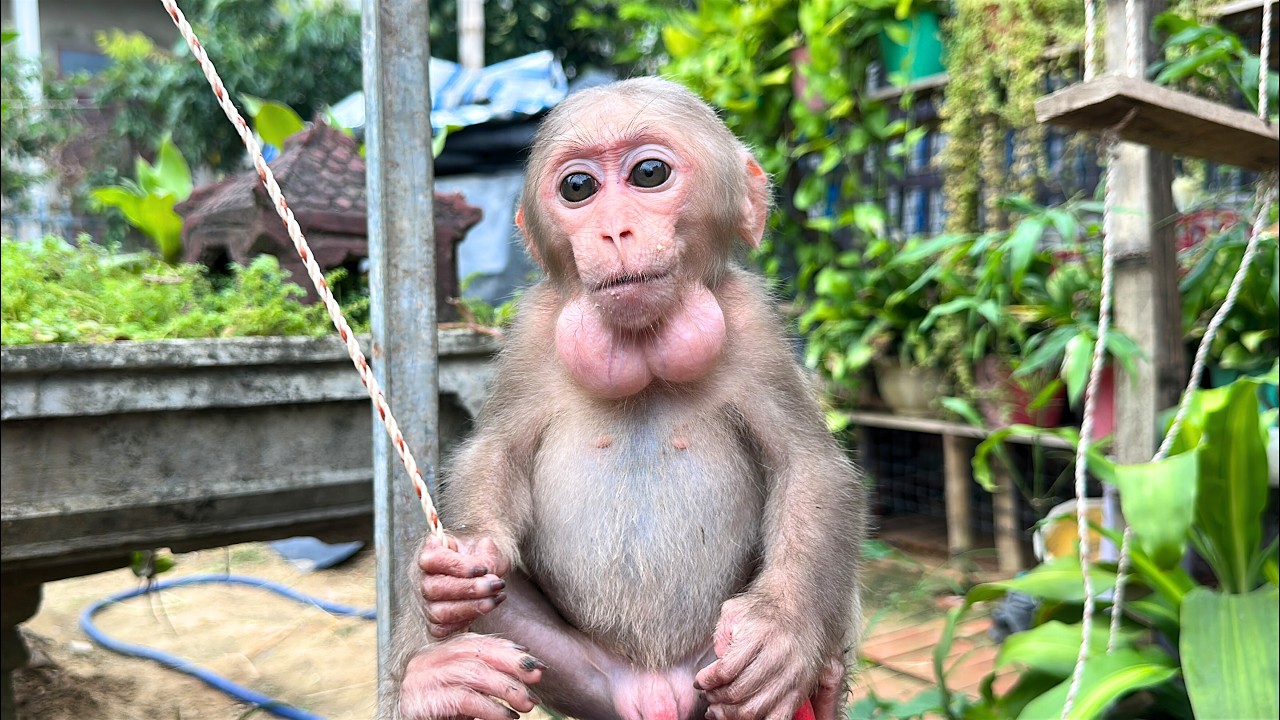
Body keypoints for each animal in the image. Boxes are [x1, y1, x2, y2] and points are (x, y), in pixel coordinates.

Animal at [391, 76, 866, 720]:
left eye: (648, 174)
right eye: (578, 187)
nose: (614, 231)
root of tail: (652, 691)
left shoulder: (753, 325)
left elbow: (809, 464)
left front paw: (781, 634)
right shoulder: (535, 329)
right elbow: (495, 453)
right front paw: (453, 567)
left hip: (707, 668)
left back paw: (821, 682)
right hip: (583, 676)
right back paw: (434, 680)